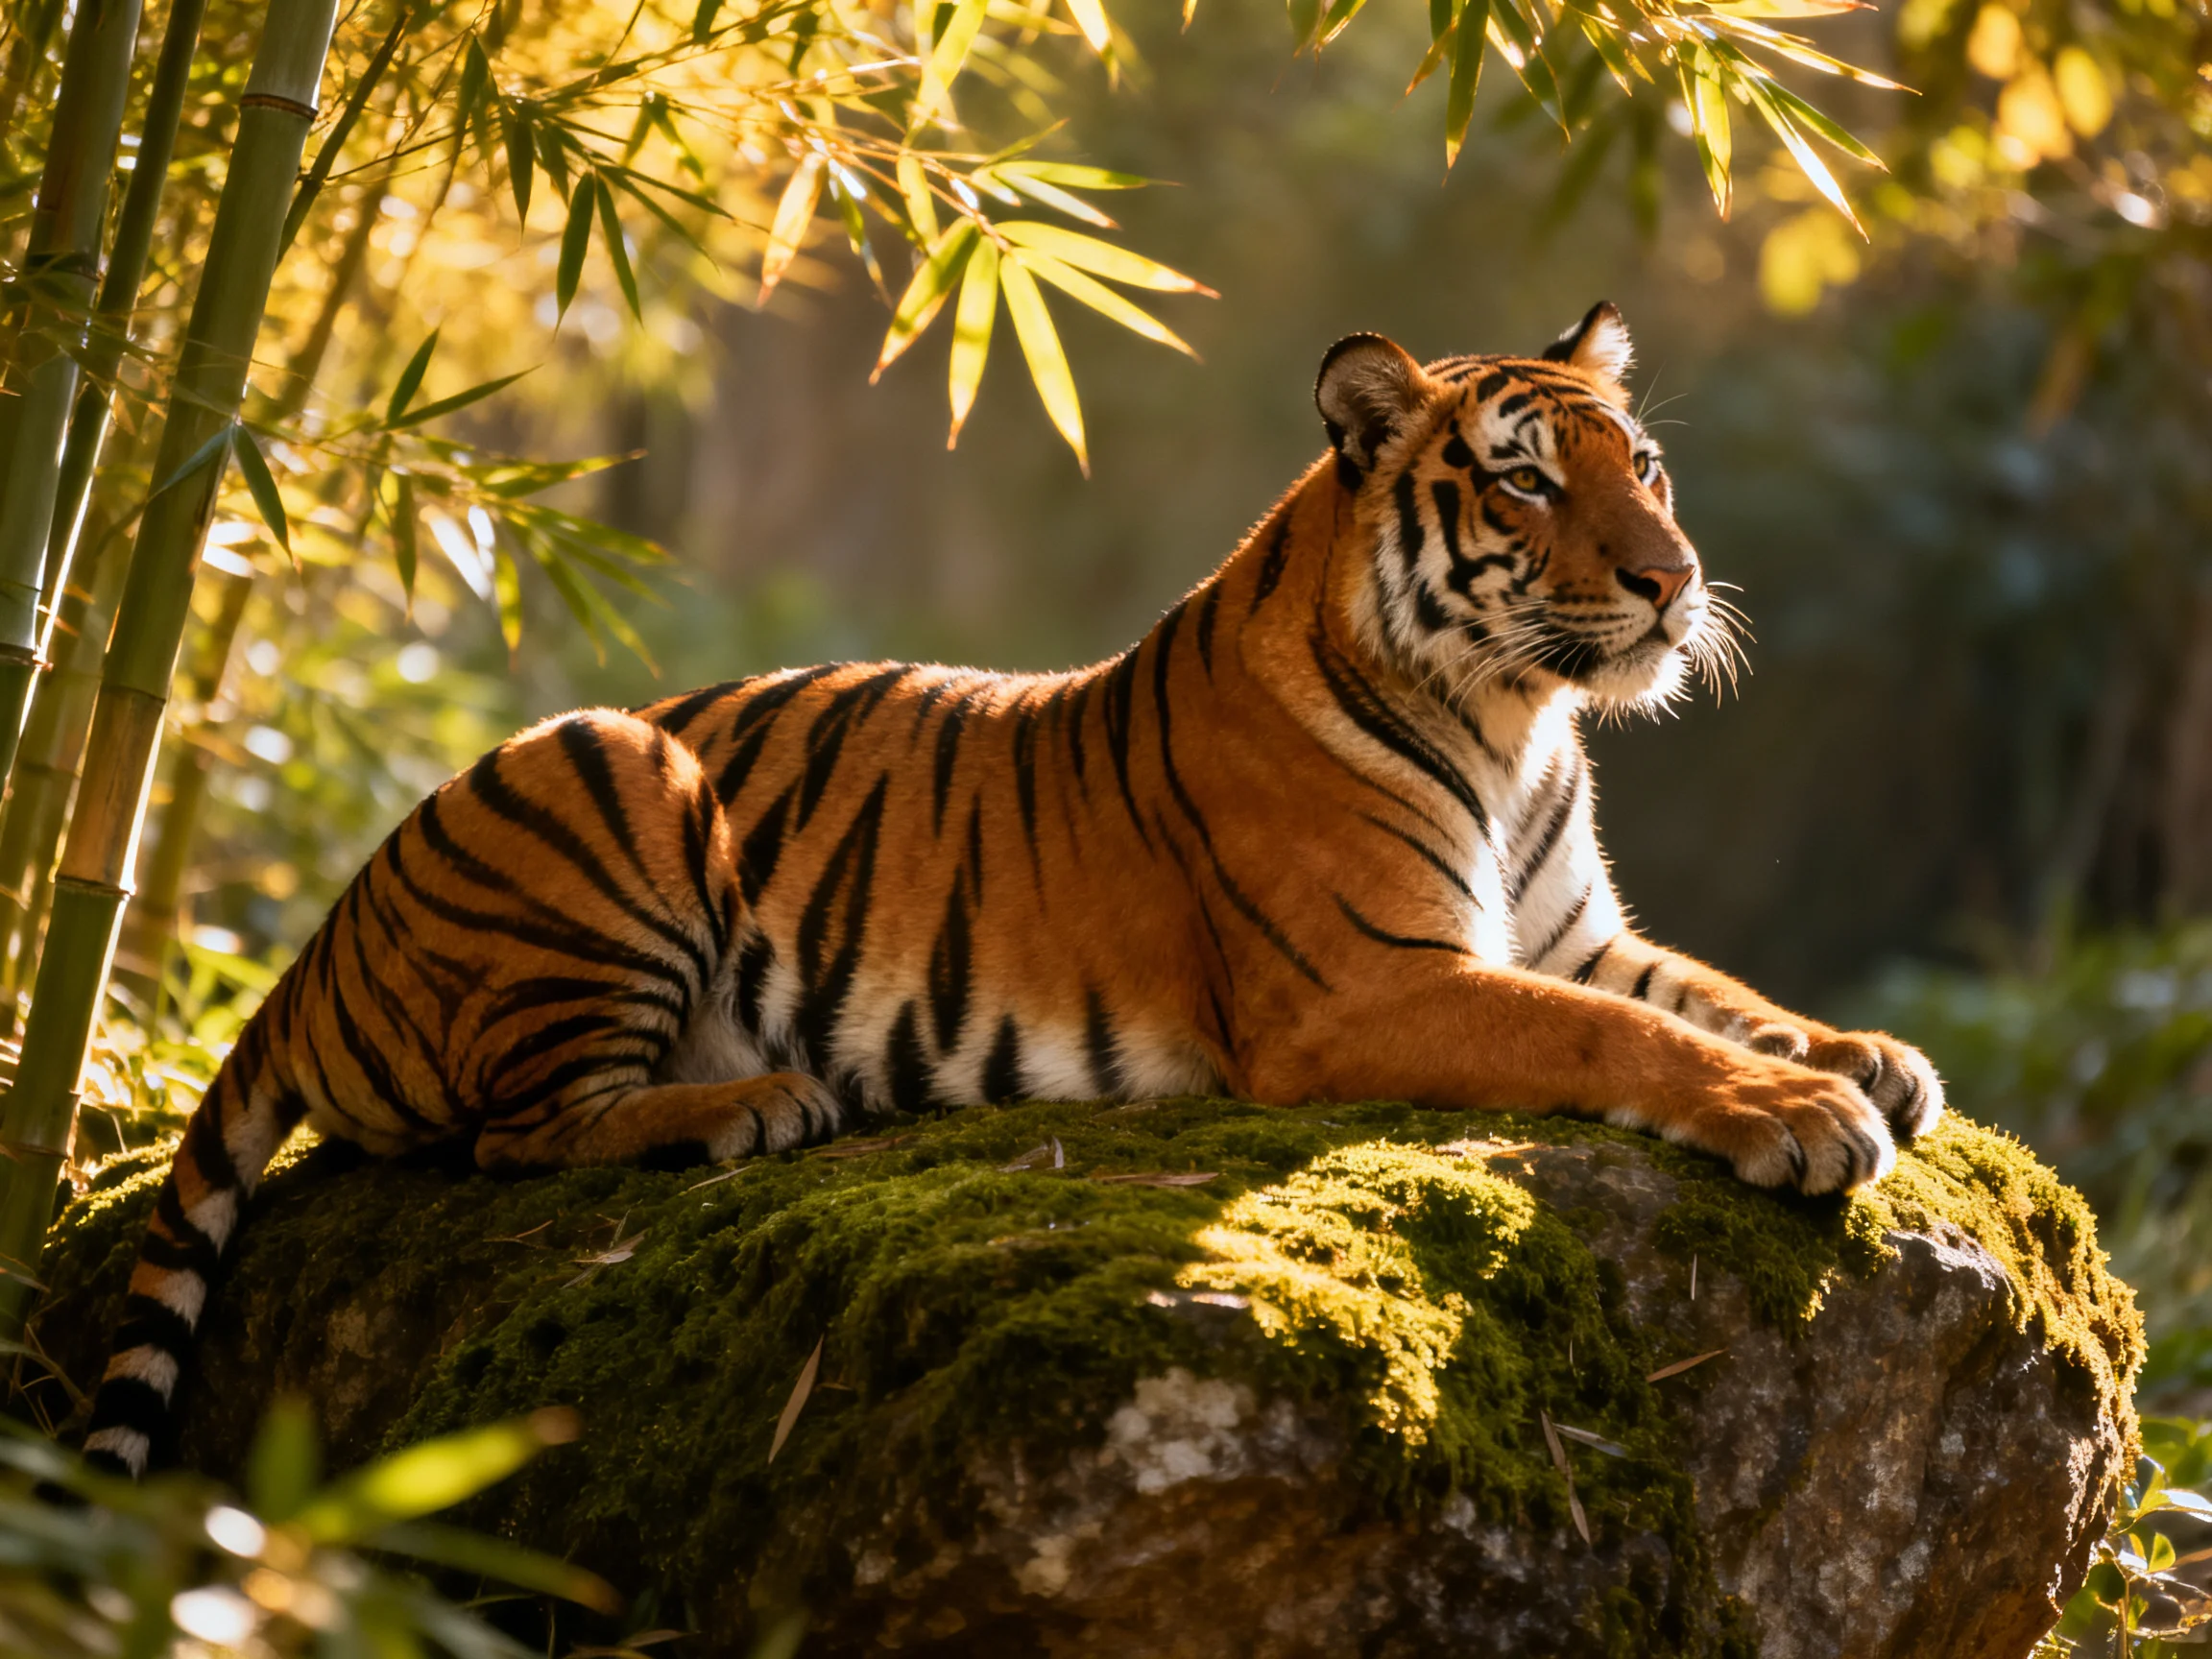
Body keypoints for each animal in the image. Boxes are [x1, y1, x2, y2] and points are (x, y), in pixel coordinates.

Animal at [82, 302, 1943, 1478]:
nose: (1673, 581)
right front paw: (1796, 1113)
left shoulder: (1575, 930)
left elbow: (1708, 990)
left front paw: (1866, 1056)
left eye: (1645, 467)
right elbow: (1611, 1042)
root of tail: (320, 942)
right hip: (618, 765)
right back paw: (761, 1101)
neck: (1514, 723)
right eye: (1524, 478)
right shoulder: (1369, 982)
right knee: (511, 1134)